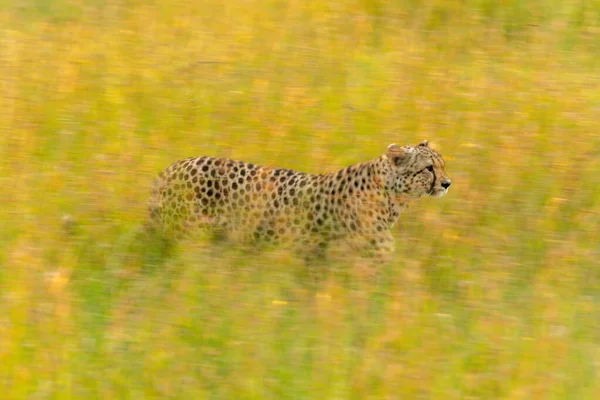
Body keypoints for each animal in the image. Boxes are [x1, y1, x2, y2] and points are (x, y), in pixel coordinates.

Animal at [149, 142, 450, 258]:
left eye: (442, 165)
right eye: (429, 168)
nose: (447, 184)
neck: (392, 196)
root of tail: (173, 166)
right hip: (190, 234)